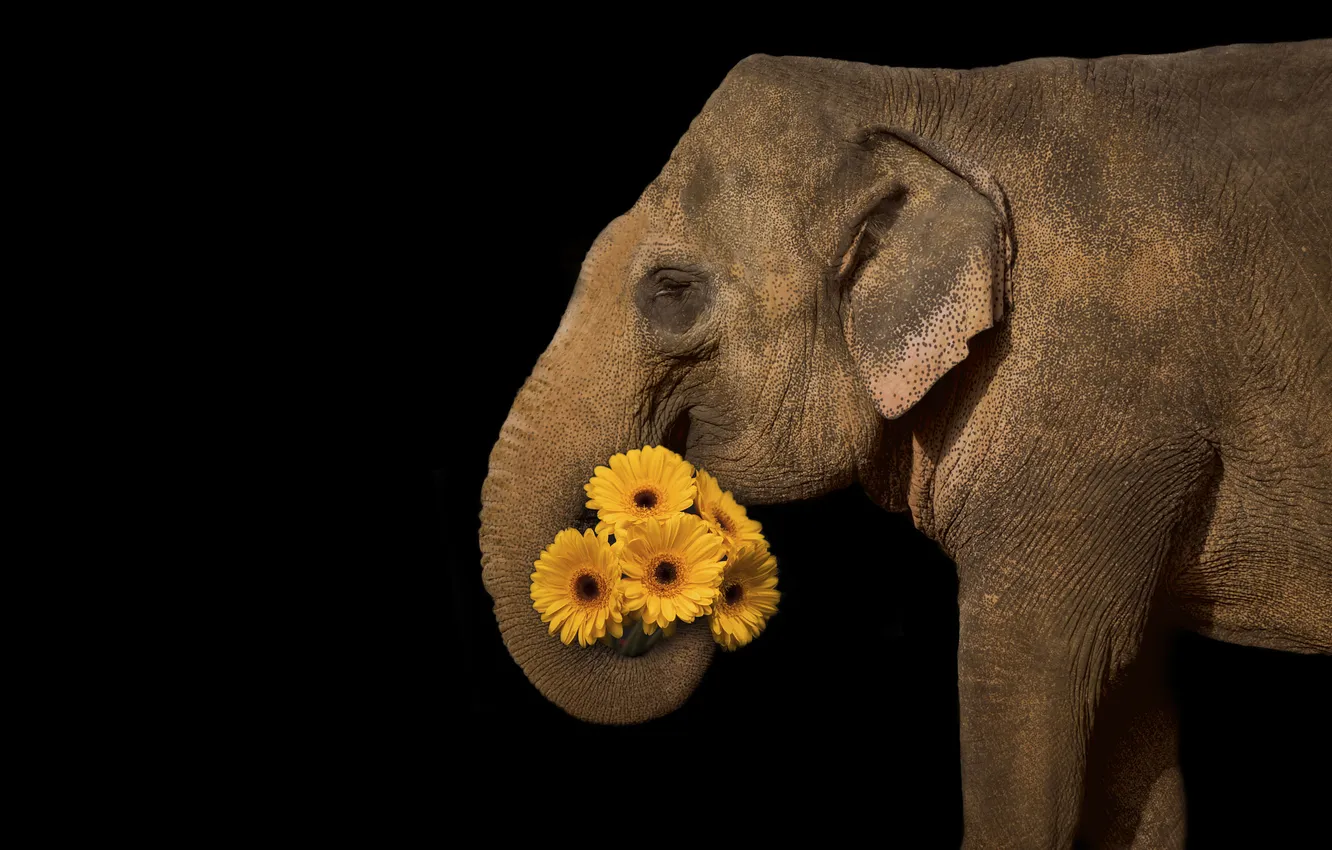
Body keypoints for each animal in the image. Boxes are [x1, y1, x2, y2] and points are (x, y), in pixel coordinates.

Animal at [478, 41, 1331, 847]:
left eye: (672, 291)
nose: (661, 581)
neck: (929, 100)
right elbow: (1132, 712)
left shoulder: (1094, 405)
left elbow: (1035, 673)